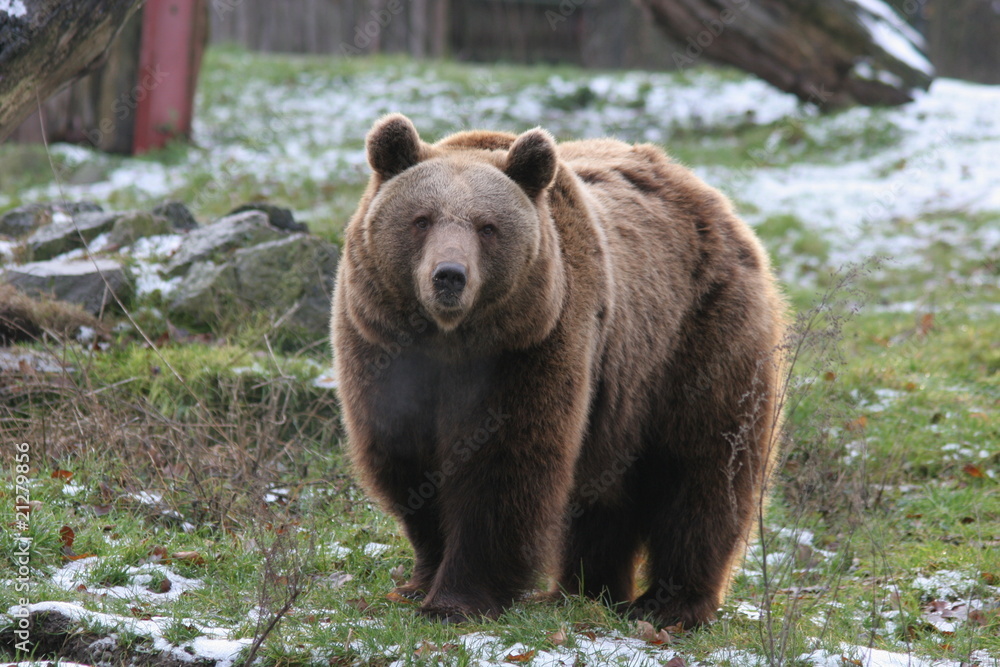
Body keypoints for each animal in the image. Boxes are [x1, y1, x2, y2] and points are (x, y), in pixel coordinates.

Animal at [334, 112, 788, 628]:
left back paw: (669, 604)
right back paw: (585, 591)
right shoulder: (383, 350)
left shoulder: (534, 347)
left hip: (696, 341)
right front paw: (418, 583)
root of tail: (713, 200)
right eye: (421, 219)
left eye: (487, 226)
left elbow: (505, 468)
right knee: (607, 496)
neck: (452, 342)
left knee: (703, 470)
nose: (449, 275)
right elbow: (408, 466)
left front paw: (457, 600)